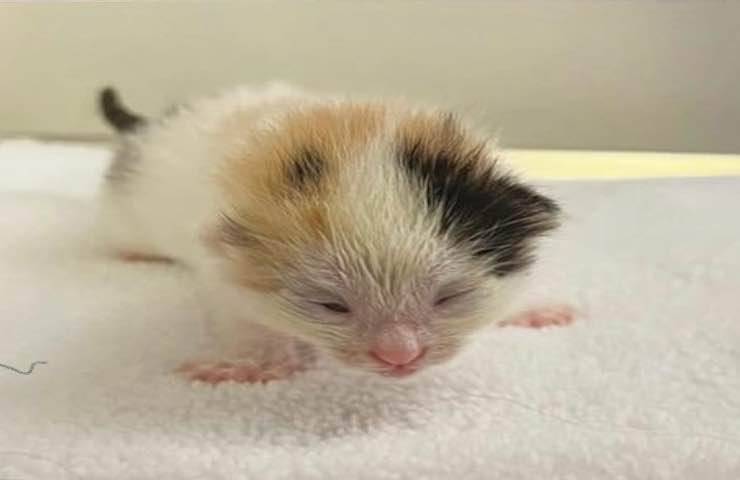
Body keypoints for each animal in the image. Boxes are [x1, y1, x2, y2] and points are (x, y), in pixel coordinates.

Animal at [96, 83, 569, 383]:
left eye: (449, 296)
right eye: (331, 305)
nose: (400, 355)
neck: (339, 125)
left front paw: (532, 307)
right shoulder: (220, 260)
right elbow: (239, 315)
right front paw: (251, 362)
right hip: (124, 217)